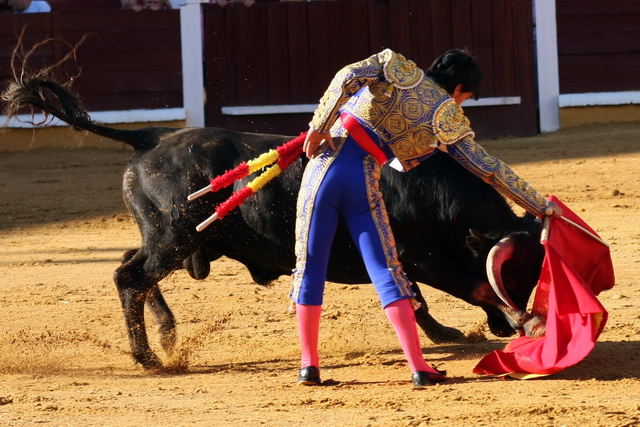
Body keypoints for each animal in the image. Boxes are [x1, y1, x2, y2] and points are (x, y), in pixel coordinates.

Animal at [5, 78, 544, 370]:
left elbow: (412, 296)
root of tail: (150, 136)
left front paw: (449, 333)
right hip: (175, 237)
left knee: (130, 267)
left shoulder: (404, 256)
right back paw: (151, 359)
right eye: (513, 272)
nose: (513, 318)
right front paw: (513, 321)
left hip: (168, 237)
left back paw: (167, 334)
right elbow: (459, 286)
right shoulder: (422, 255)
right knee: (129, 276)